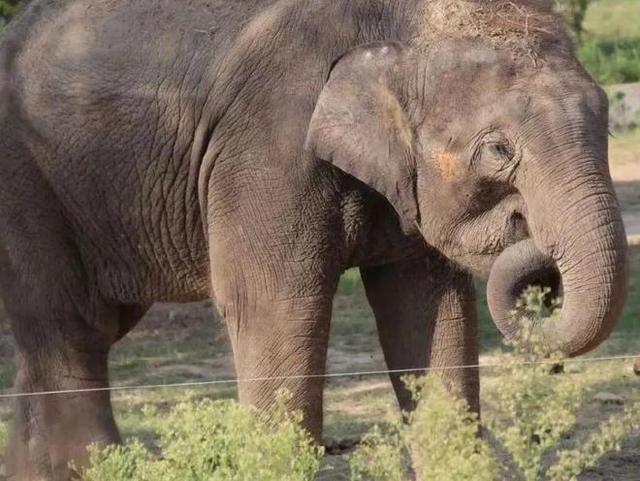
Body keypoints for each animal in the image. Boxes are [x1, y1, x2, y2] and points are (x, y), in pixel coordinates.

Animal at [0, 0, 628, 478]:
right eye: (498, 150)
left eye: (607, 116)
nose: (534, 241)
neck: (395, 23)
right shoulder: (267, 148)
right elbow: (277, 307)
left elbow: (431, 311)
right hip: (27, 180)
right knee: (72, 326)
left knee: (91, 328)